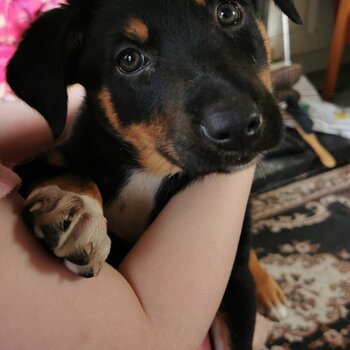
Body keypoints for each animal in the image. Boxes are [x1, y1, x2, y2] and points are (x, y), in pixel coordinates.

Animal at [6, 1, 300, 348]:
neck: (152, 170)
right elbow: (71, 173)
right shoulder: (41, 159)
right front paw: (78, 208)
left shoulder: (237, 285)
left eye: (228, 13)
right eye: (129, 59)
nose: (239, 126)